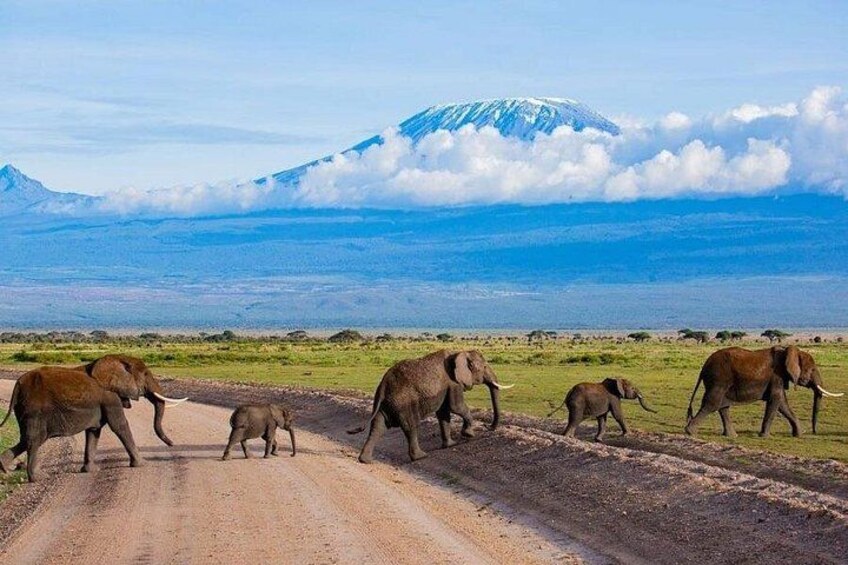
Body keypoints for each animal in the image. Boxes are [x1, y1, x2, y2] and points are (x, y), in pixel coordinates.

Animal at [0, 354, 188, 482]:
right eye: (146, 374)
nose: (172, 444)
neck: (117, 359)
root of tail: (17, 384)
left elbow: (94, 431)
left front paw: (90, 471)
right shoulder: (110, 397)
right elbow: (119, 425)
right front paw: (142, 464)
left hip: (24, 409)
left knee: (26, 439)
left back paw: (4, 468)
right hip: (35, 410)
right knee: (34, 439)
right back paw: (38, 477)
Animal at [347, 349, 513, 464]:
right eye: (484, 367)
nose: (487, 427)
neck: (459, 351)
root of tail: (383, 385)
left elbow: (444, 414)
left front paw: (450, 444)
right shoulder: (453, 383)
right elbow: (456, 407)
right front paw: (469, 435)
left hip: (386, 403)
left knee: (378, 427)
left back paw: (365, 460)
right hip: (403, 402)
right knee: (411, 426)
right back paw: (421, 456)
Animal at [685, 346, 843, 438]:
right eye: (812, 370)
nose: (814, 432)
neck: (788, 351)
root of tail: (704, 367)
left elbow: (782, 403)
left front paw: (799, 434)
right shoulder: (777, 375)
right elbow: (776, 400)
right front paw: (765, 436)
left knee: (723, 406)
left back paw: (731, 436)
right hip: (719, 379)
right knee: (713, 403)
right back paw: (690, 432)